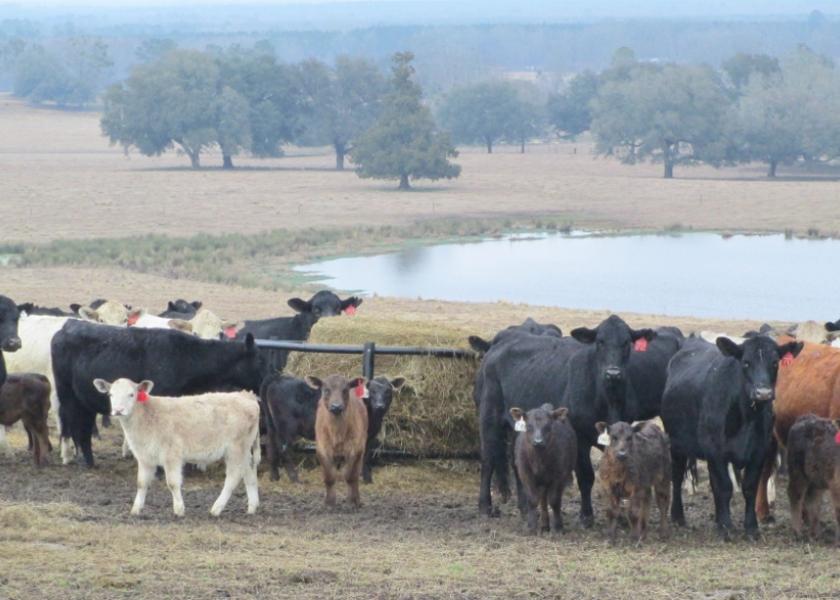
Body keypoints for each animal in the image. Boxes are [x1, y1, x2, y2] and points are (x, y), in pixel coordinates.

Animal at [51, 322, 266, 466]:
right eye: (259, 359)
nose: (266, 381)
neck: (188, 357)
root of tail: (64, 329)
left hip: (84, 401)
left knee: (83, 429)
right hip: (68, 397)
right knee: (76, 427)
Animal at [94, 380, 260, 516]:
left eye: (131, 394)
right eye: (111, 394)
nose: (118, 410)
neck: (147, 415)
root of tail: (246, 395)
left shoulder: (171, 454)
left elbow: (173, 483)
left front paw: (179, 509)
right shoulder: (144, 457)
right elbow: (141, 483)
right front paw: (136, 509)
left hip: (235, 449)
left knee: (233, 477)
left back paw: (216, 509)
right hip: (244, 450)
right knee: (250, 473)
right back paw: (252, 507)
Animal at [308, 376, 368, 506]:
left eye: (345, 390)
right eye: (326, 390)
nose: (336, 406)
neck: (337, 434)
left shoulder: (355, 450)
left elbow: (350, 476)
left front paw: (352, 500)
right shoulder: (322, 449)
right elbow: (329, 477)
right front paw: (329, 501)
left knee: (355, 477)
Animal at [664, 338, 800, 540]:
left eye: (775, 363)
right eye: (746, 363)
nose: (763, 393)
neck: (746, 417)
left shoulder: (759, 451)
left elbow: (749, 487)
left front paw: (751, 527)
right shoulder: (715, 451)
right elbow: (725, 487)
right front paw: (727, 527)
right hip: (677, 444)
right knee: (678, 475)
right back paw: (678, 516)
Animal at [788, 412, 840, 544]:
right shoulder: (836, 486)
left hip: (816, 479)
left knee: (812, 501)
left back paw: (815, 534)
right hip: (798, 474)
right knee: (796, 496)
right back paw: (797, 532)